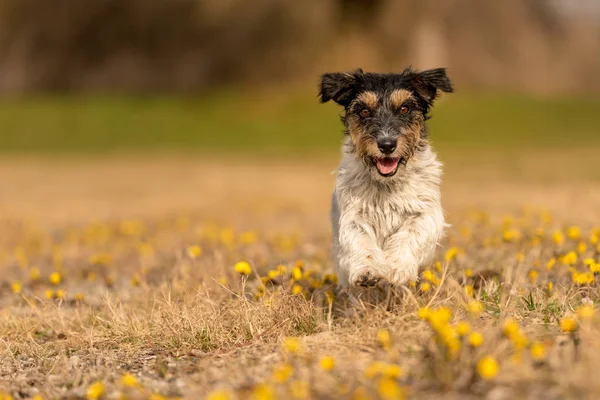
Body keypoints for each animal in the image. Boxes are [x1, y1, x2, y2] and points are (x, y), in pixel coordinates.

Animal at [322, 68, 452, 288]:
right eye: (364, 111)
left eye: (404, 109)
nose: (387, 144)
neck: (387, 184)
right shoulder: (354, 215)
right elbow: (361, 238)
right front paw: (368, 271)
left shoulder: (426, 213)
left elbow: (410, 233)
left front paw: (397, 268)